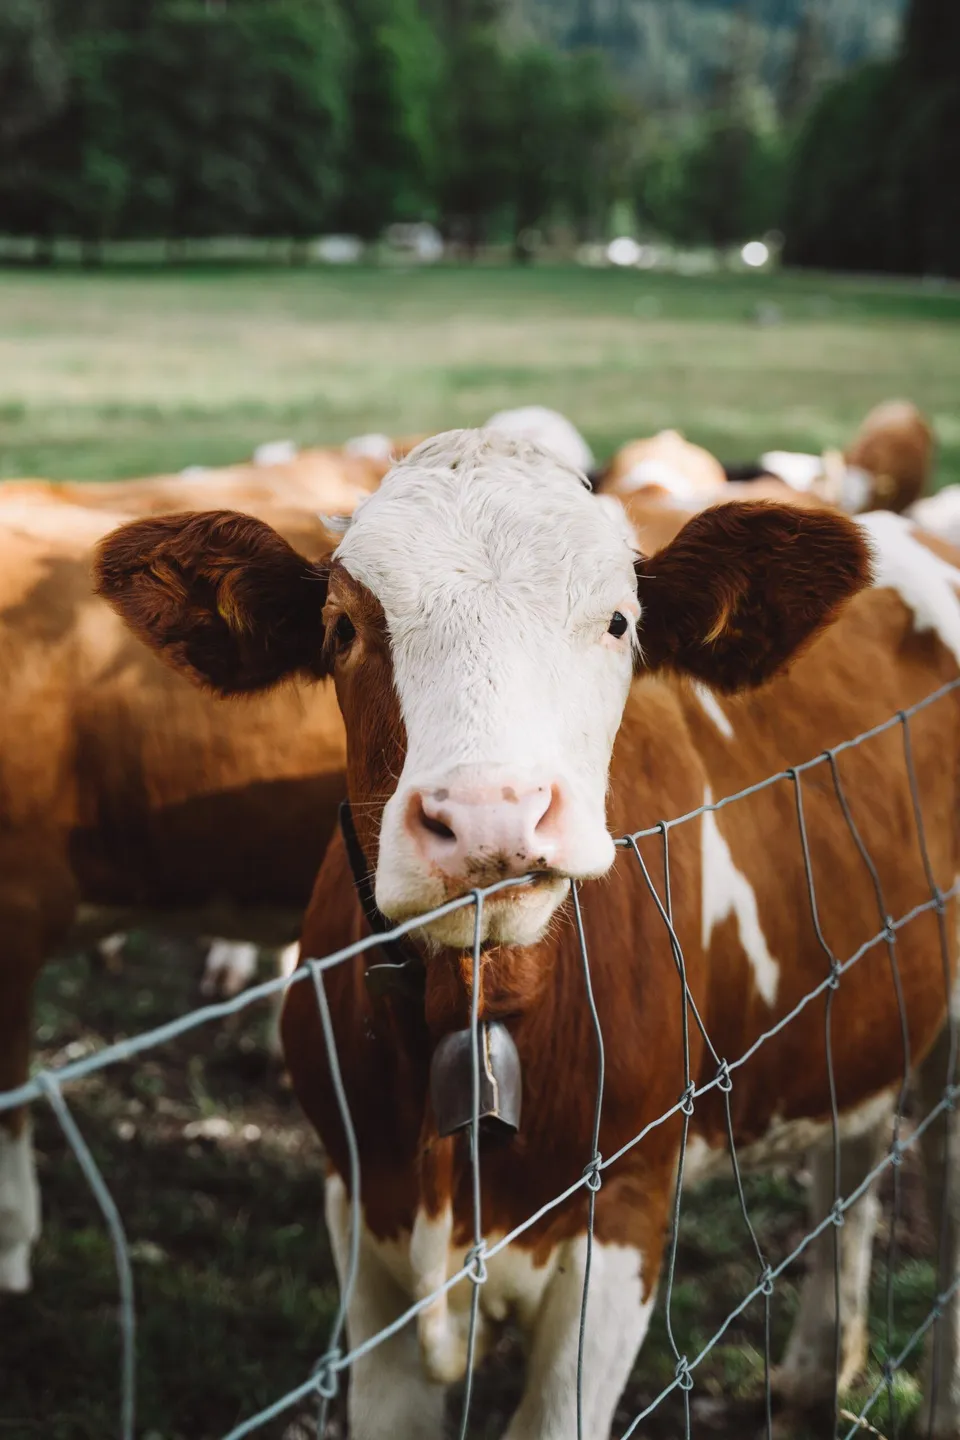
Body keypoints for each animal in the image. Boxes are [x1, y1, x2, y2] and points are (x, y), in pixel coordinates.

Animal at [95, 429, 960, 1438]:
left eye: (620, 623)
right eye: (343, 629)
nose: (487, 818)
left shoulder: (622, 1218)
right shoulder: (359, 1214)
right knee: (850, 1158)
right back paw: (814, 1373)